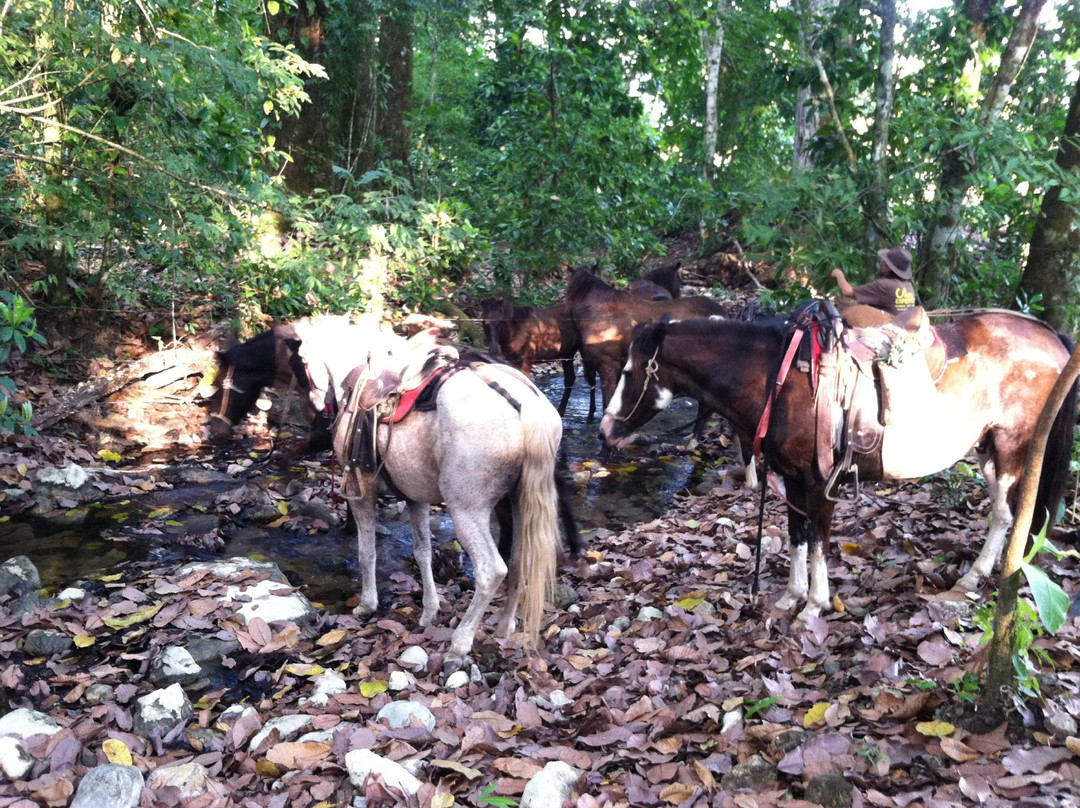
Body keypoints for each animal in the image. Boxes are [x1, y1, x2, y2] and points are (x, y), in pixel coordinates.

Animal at [291, 315, 570, 674]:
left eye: (303, 360)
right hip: (518, 504)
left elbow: (367, 552)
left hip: (467, 509)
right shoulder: (416, 498)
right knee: (519, 562)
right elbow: (422, 551)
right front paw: (429, 611)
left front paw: (367, 605)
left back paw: (459, 645)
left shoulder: (361, 494)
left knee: (492, 570)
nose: (314, 405)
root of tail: (527, 405)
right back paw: (503, 628)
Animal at [604, 311, 1075, 626]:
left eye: (629, 370)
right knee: (1005, 515)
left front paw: (814, 605)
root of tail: (1051, 336)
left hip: (1014, 448)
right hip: (988, 448)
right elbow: (796, 537)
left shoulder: (818, 483)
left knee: (1005, 515)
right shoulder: (792, 480)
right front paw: (790, 596)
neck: (779, 382)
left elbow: (817, 542)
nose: (606, 429)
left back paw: (976, 577)